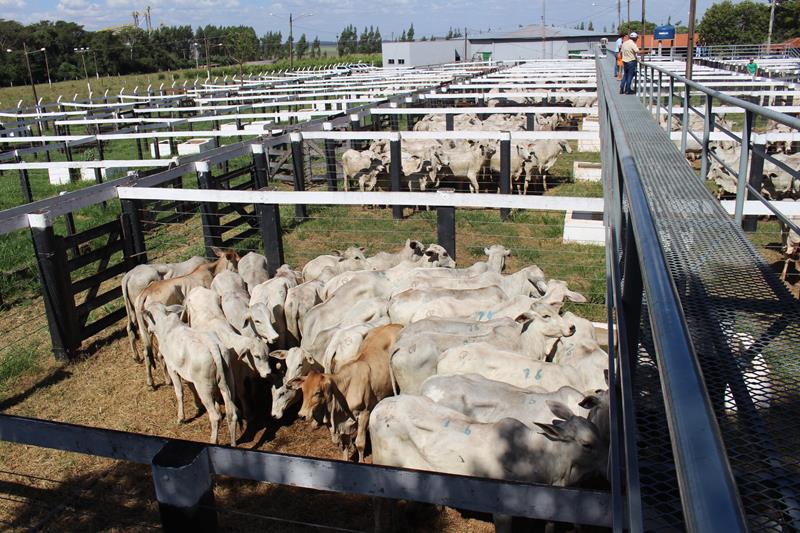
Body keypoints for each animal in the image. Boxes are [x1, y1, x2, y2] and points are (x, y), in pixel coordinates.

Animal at [288, 322, 404, 460]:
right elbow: (344, 444)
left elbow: (360, 443)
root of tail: (396, 324)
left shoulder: (364, 413)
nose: (302, 414)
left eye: (317, 392)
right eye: (303, 391)